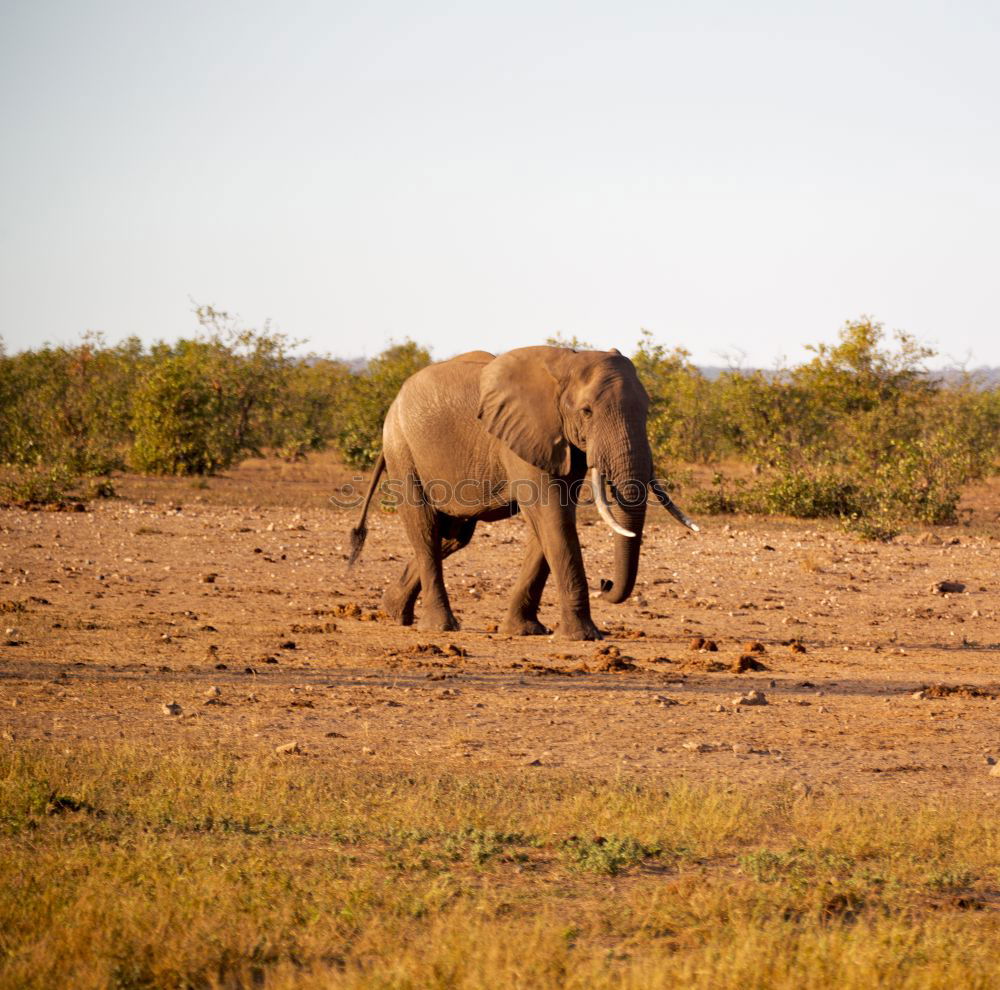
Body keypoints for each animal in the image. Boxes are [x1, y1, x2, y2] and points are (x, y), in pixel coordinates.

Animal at [348, 348, 700, 644]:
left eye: (647, 412)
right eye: (586, 411)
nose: (605, 583)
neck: (567, 364)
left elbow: (549, 525)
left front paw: (524, 631)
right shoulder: (524, 436)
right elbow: (554, 520)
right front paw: (583, 637)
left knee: (453, 536)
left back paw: (394, 610)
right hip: (402, 448)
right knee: (425, 529)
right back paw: (439, 626)